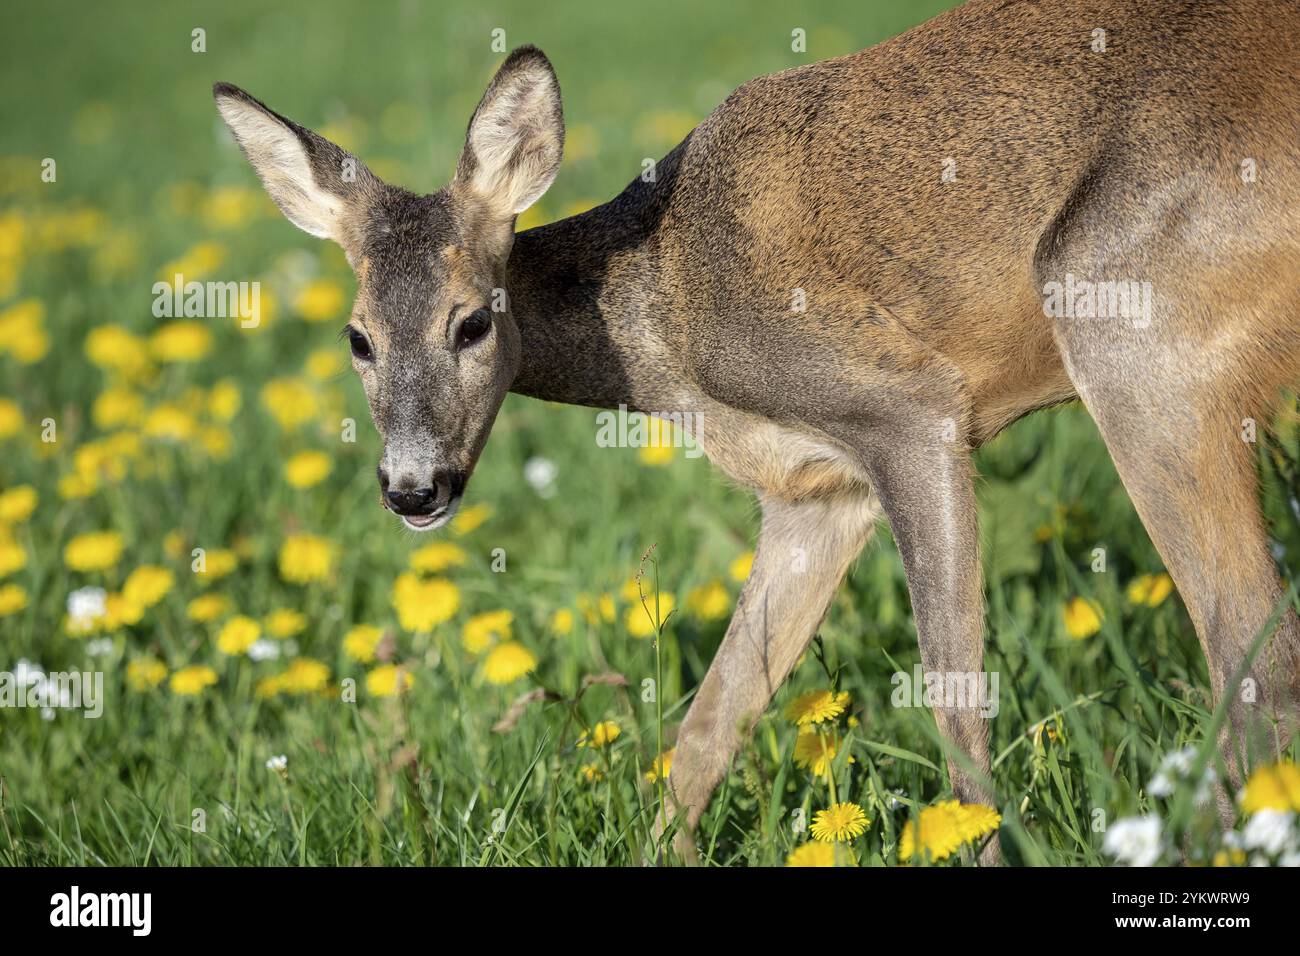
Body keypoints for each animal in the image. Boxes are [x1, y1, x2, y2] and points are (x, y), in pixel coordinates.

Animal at [213, 0, 1300, 868]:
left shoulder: (912, 409)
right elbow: (707, 723)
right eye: (356, 338)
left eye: (472, 322)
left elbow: (955, 703)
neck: (665, 313)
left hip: (1125, 306)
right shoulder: (816, 490)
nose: (413, 487)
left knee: (1255, 657)